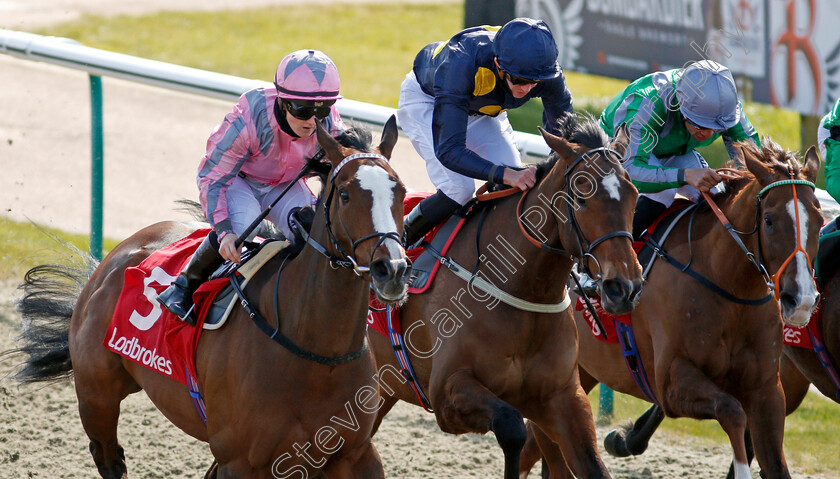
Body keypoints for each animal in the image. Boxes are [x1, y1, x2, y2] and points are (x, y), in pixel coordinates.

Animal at [9, 120, 408, 479]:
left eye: (401, 192)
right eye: (345, 194)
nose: (392, 268)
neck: (316, 352)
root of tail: (111, 259)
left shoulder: (354, 453)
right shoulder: (243, 461)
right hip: (96, 395)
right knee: (109, 458)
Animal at [366, 113, 644, 479]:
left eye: (634, 195)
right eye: (582, 196)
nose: (625, 286)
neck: (523, 288)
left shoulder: (563, 398)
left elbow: (592, 466)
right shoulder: (447, 391)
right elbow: (512, 428)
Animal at [520, 141, 824, 479]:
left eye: (820, 220)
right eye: (769, 220)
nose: (802, 300)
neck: (729, 288)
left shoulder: (766, 391)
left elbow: (775, 462)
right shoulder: (671, 382)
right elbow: (731, 411)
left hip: (574, 375)